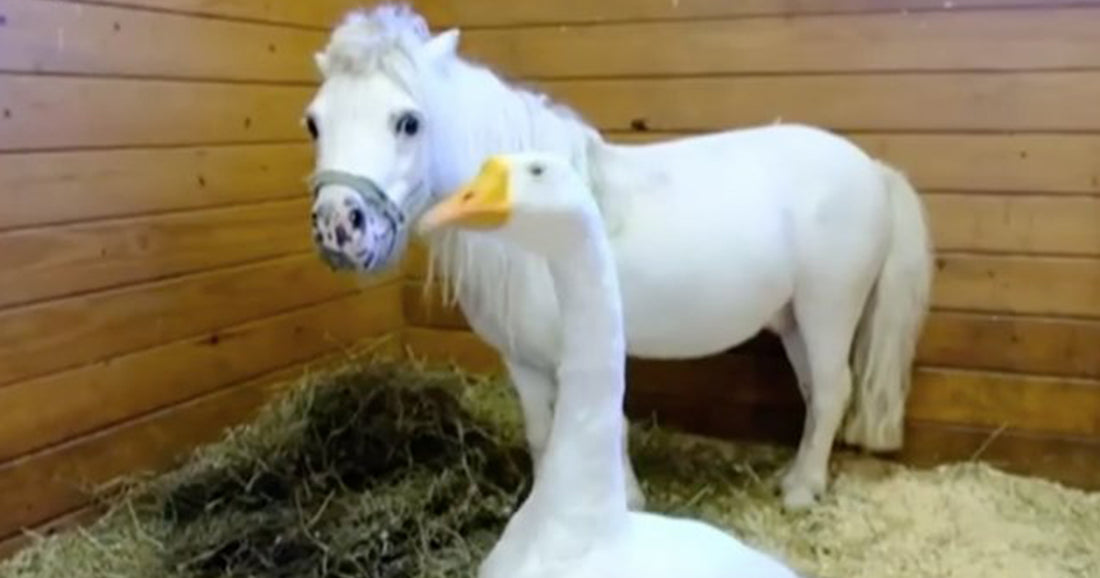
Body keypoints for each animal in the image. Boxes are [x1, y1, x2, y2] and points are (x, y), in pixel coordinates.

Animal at [304, 4, 933, 510]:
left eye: (408, 121)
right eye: (313, 122)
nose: (339, 225)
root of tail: (872, 168)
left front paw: (622, 500)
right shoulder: (523, 361)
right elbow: (543, 435)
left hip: (828, 312)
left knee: (832, 391)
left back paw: (801, 493)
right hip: (795, 321)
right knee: (814, 395)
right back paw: (798, 477)